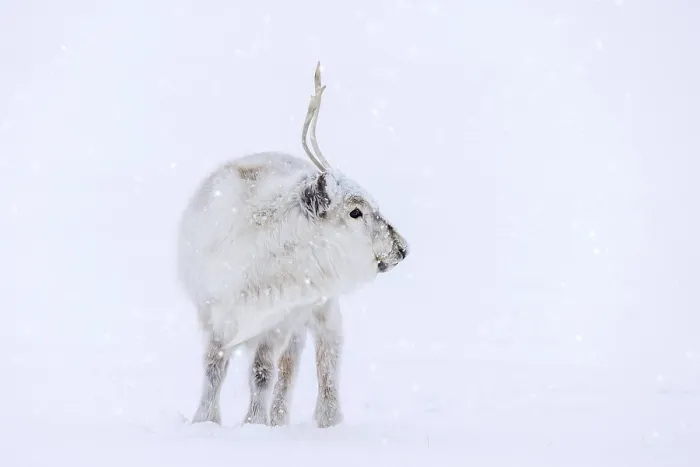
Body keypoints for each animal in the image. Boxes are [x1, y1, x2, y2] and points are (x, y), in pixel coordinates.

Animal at [176, 62, 409, 429]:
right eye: (355, 211)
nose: (401, 247)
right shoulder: (214, 312)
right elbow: (214, 366)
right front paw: (205, 420)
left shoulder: (279, 321)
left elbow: (263, 372)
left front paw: (254, 424)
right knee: (293, 363)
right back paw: (281, 419)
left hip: (320, 308)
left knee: (325, 352)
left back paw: (325, 419)